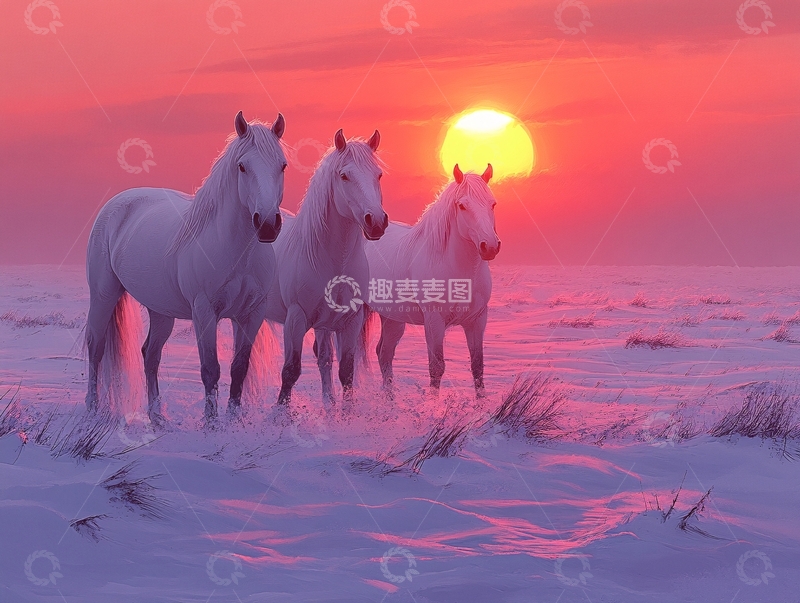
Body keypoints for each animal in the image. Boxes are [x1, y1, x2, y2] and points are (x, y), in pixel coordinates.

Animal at [85, 111, 287, 426]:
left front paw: (233, 424)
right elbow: (210, 370)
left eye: (282, 166)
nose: (267, 224)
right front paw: (211, 426)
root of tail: (115, 205)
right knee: (96, 349)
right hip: (103, 296)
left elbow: (239, 368)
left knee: (150, 355)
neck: (238, 250)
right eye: (242, 166)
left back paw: (157, 418)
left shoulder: (251, 313)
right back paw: (92, 410)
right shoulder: (204, 311)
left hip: (161, 311)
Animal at [264, 128, 386, 414]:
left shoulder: (349, 322)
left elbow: (346, 371)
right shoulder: (295, 320)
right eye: (344, 175)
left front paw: (344, 415)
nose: (376, 222)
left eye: (378, 175)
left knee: (324, 359)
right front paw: (280, 417)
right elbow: (290, 371)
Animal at [364, 164, 500, 398]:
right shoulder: (434, 322)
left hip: (392, 319)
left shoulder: (477, 321)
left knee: (384, 354)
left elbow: (477, 367)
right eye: (462, 206)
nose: (489, 246)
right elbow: (436, 368)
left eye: (492, 204)